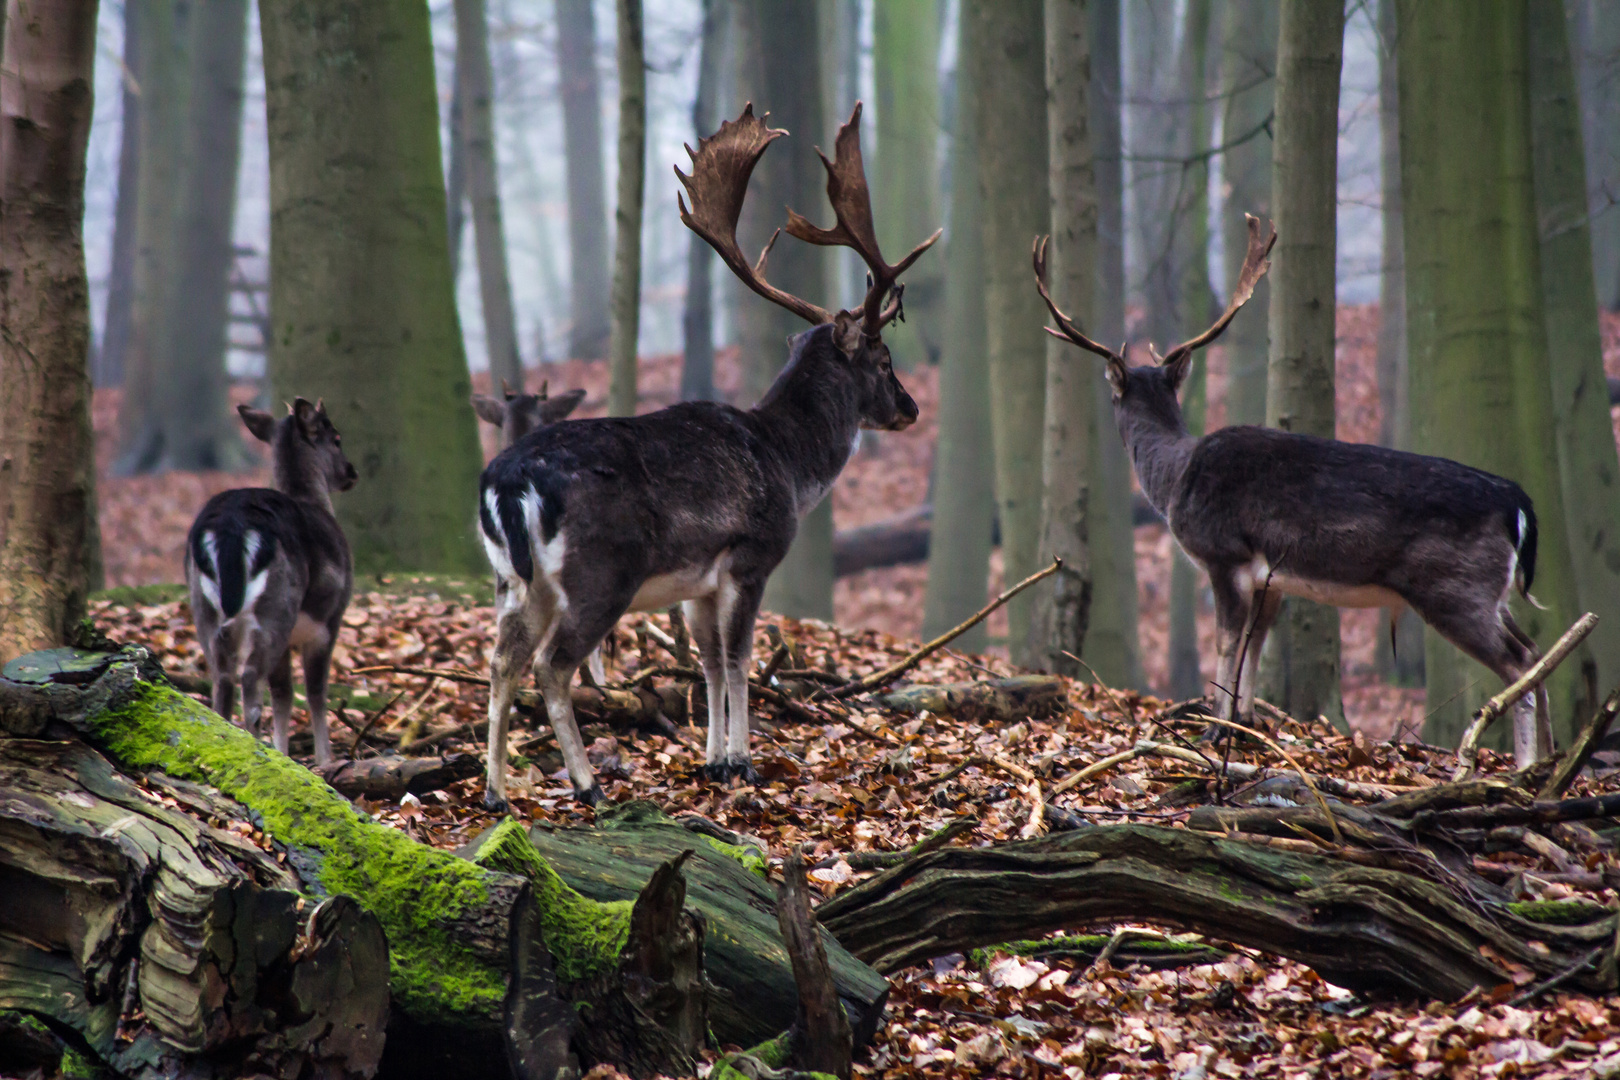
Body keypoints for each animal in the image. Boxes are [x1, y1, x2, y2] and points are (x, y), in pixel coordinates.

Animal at [186, 401, 358, 764]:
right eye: (336, 438)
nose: (352, 471)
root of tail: (232, 528)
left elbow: (283, 692)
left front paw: (285, 751)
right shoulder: (329, 622)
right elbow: (315, 691)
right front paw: (324, 759)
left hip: (202, 607)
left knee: (222, 679)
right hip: (277, 608)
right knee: (250, 680)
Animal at [476, 103, 939, 809]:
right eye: (884, 360)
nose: (910, 408)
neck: (790, 464)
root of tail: (507, 483)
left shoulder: (695, 582)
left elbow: (711, 662)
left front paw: (714, 761)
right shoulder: (751, 556)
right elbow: (741, 658)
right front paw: (744, 763)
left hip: (512, 578)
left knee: (502, 660)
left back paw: (497, 793)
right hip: (600, 571)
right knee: (553, 666)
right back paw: (588, 784)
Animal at [1030, 215, 1548, 764]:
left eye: (1112, 395)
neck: (1175, 478)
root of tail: (1518, 503)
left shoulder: (1225, 555)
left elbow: (1226, 643)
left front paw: (1214, 730)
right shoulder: (1270, 579)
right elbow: (1254, 646)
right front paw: (1243, 724)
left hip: (1455, 589)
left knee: (1518, 662)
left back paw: (1524, 765)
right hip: (1492, 592)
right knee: (1537, 651)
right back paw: (1553, 760)